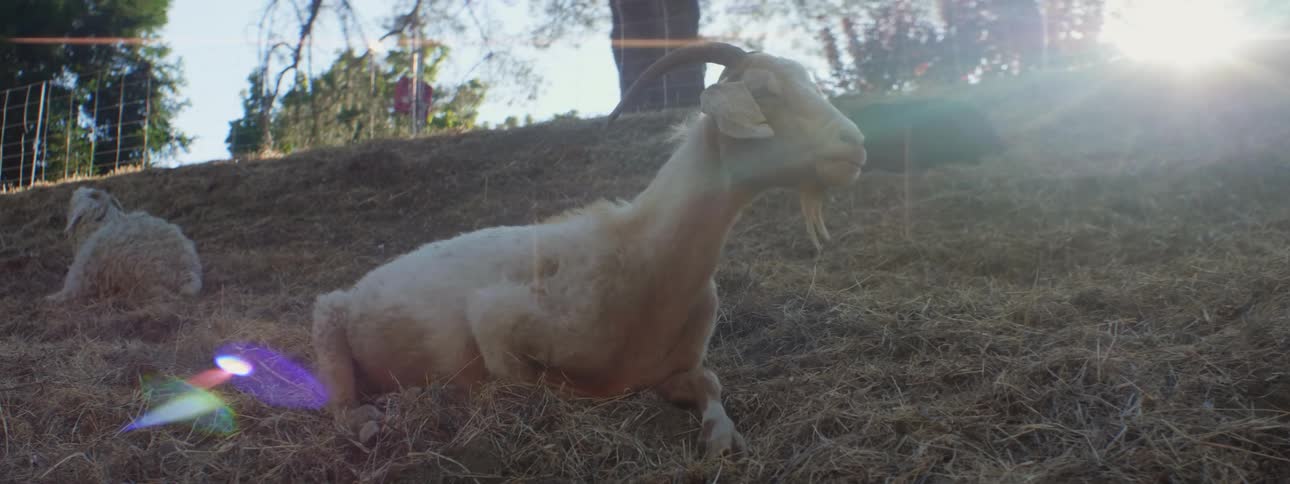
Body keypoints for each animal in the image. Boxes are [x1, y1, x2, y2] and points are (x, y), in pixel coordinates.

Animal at [311, 42, 868, 455]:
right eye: (765, 91)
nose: (856, 143)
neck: (645, 254)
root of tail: (359, 287)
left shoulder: (674, 366)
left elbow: (710, 382)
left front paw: (721, 438)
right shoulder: (496, 319)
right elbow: (537, 383)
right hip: (328, 322)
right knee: (339, 403)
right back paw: (369, 422)